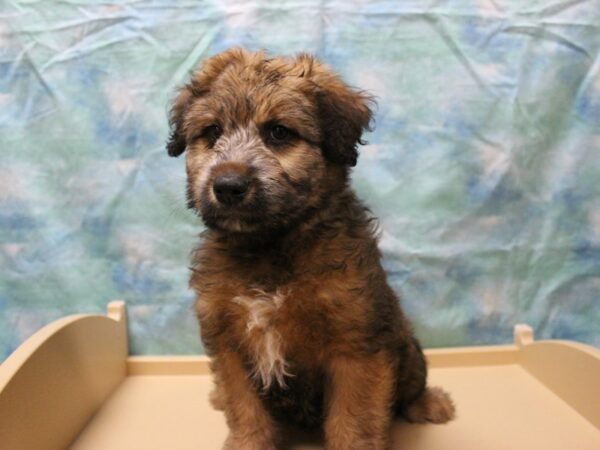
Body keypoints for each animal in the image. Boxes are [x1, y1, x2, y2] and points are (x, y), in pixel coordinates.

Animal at [165, 49, 454, 450]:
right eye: (212, 132)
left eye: (279, 132)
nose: (228, 186)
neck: (269, 248)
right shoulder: (228, 343)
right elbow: (245, 410)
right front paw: (245, 439)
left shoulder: (356, 345)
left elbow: (354, 421)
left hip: (407, 348)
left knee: (411, 386)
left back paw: (430, 403)